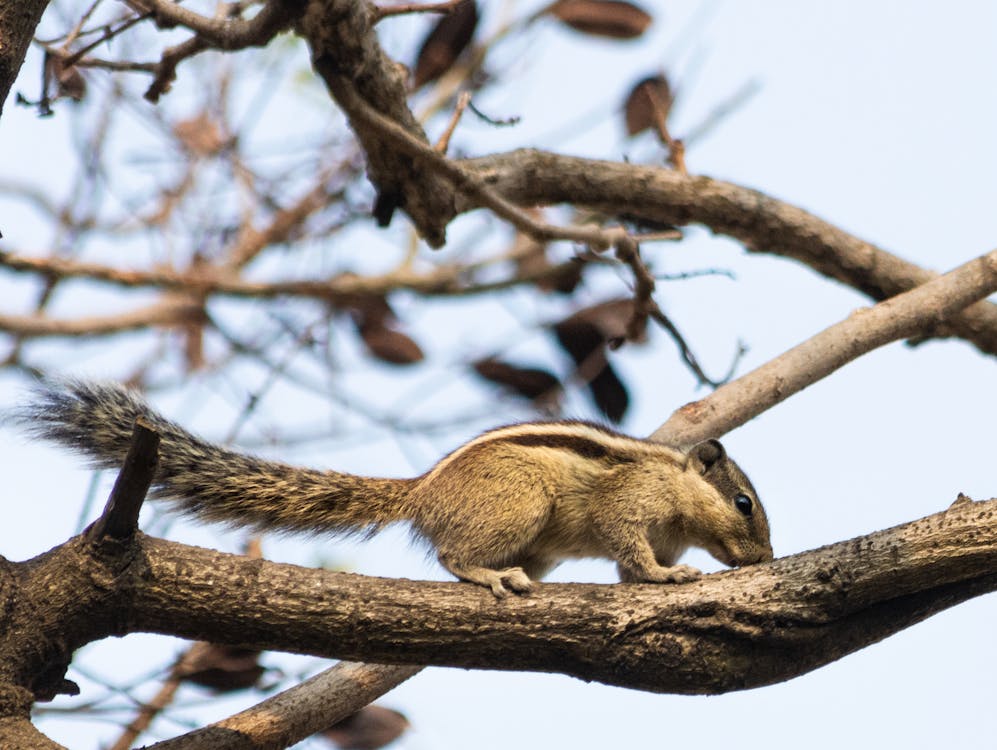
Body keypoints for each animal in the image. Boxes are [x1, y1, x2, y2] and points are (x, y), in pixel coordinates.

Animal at [21, 382, 772, 600]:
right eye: (743, 503)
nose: (763, 559)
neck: (677, 491)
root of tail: (422, 494)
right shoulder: (629, 505)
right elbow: (630, 550)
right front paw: (667, 576)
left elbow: (628, 570)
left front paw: (665, 575)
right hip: (516, 506)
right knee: (451, 556)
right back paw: (490, 576)